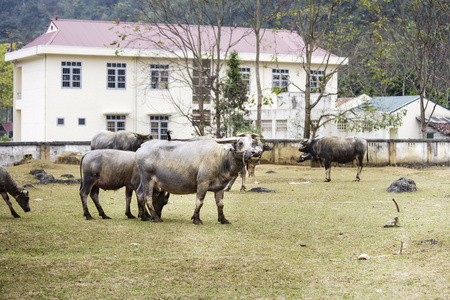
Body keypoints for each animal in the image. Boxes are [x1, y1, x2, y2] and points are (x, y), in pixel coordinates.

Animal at [136, 135, 264, 224]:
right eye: (240, 142)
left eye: (252, 143)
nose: (254, 152)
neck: (221, 158)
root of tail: (141, 148)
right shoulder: (202, 184)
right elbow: (199, 202)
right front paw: (196, 219)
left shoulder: (220, 188)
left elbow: (220, 204)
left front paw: (223, 220)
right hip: (148, 179)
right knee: (147, 197)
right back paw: (156, 217)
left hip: (143, 180)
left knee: (139, 194)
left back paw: (145, 216)